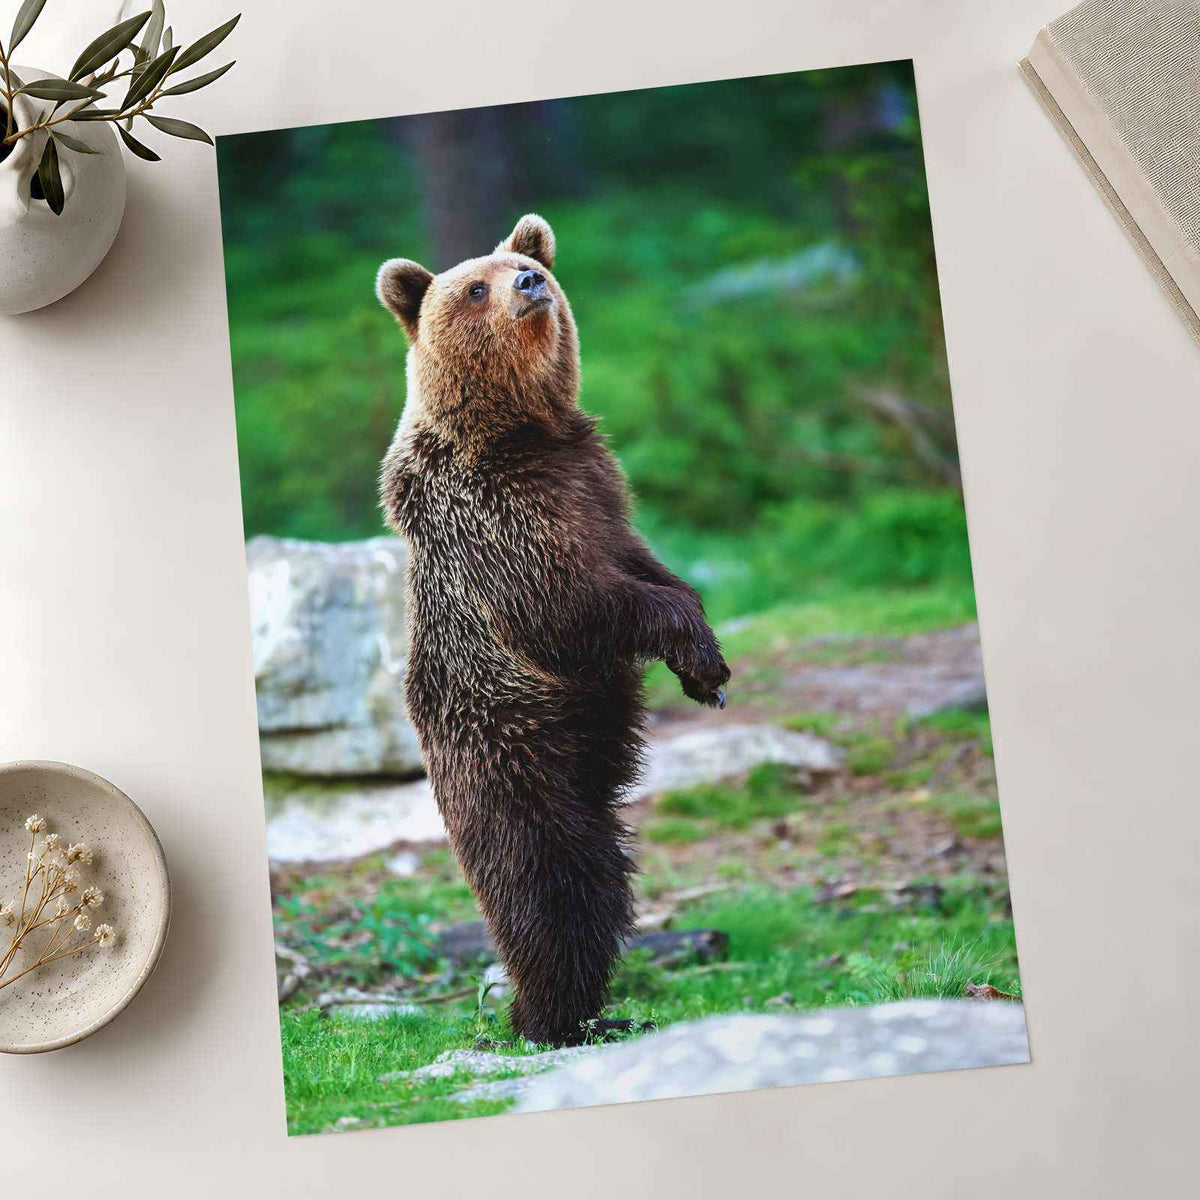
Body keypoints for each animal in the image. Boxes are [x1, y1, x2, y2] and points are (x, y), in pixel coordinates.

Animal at [376, 213, 731, 1046]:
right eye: (476, 286)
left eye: (520, 262)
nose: (531, 283)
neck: (523, 432)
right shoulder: (497, 524)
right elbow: (572, 606)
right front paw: (696, 651)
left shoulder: (597, 486)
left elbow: (650, 565)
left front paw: (705, 665)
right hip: (516, 756)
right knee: (548, 884)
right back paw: (550, 1016)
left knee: (601, 882)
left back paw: (597, 1013)